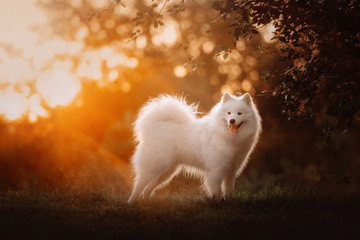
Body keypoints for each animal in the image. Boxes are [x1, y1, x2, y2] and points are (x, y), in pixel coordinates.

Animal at [129, 92, 262, 202]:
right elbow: (216, 191)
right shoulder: (216, 170)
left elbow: (229, 189)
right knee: (139, 185)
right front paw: (217, 203)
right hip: (155, 166)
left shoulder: (231, 170)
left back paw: (148, 203)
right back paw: (132, 202)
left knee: (147, 189)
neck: (228, 138)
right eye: (228, 113)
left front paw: (228, 202)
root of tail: (156, 126)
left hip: (166, 171)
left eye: (239, 113)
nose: (232, 120)